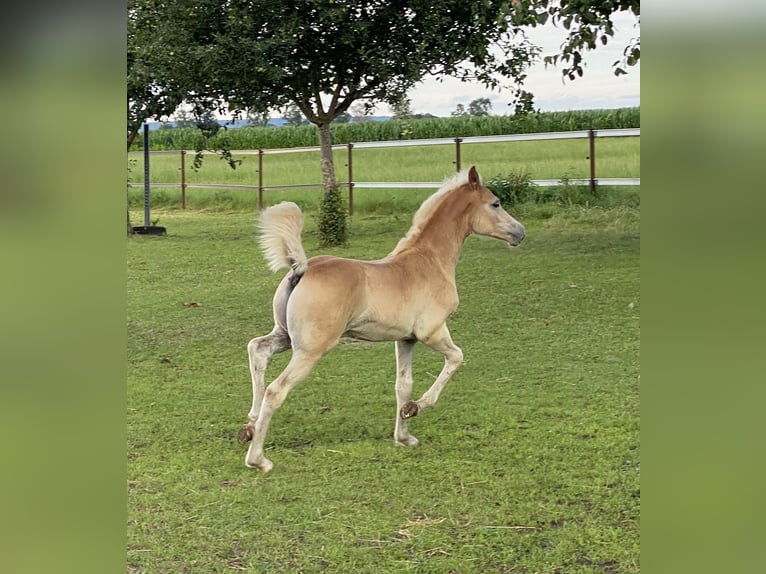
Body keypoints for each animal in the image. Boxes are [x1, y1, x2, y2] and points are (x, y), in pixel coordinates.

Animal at [238, 165, 528, 472]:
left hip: (285, 336)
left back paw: (249, 426)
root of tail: (302, 268)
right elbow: (456, 358)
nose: (519, 232)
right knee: (275, 390)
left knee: (258, 349)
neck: (430, 261)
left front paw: (404, 436)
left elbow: (403, 385)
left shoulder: (406, 339)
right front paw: (416, 408)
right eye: (495, 203)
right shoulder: (432, 331)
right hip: (310, 349)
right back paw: (258, 459)